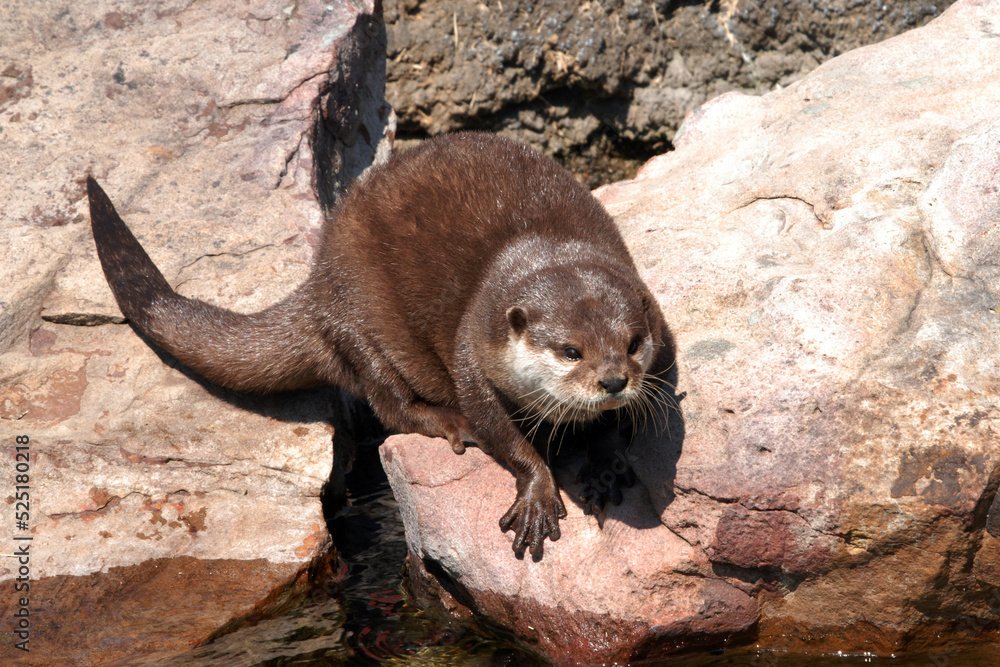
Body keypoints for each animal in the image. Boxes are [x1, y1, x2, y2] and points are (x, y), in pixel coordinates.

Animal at [87, 132, 674, 559]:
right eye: (570, 351)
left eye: (631, 343)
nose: (613, 380)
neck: (540, 248)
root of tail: (319, 283)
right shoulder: (473, 352)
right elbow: (499, 429)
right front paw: (536, 493)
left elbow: (624, 418)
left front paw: (603, 463)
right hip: (360, 321)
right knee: (387, 403)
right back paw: (444, 421)